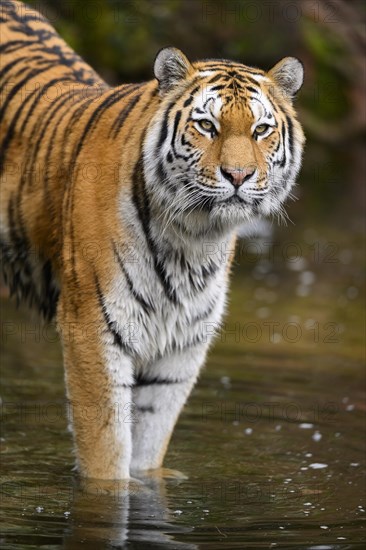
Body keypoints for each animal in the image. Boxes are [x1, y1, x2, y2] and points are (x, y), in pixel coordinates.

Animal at [0, 0, 304, 484]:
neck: (193, 237)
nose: (238, 176)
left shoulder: (181, 348)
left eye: (260, 130)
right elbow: (107, 455)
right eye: (206, 125)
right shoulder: (93, 329)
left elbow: (146, 447)